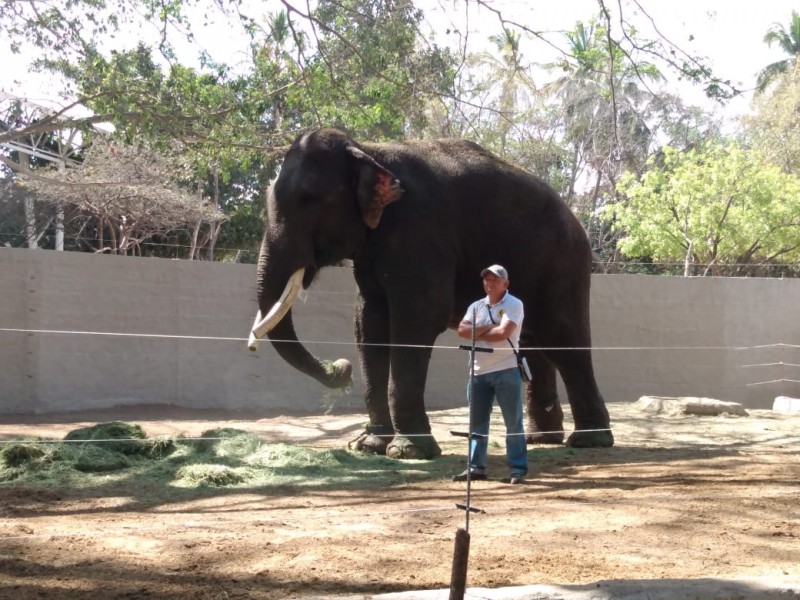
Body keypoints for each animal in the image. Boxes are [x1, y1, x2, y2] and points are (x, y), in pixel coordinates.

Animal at [248, 127, 612, 460]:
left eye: (308, 198)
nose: (341, 369)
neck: (369, 151)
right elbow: (369, 324)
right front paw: (371, 446)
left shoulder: (420, 231)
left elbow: (416, 320)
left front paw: (409, 451)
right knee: (534, 343)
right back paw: (541, 440)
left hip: (564, 262)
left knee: (564, 340)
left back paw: (589, 441)